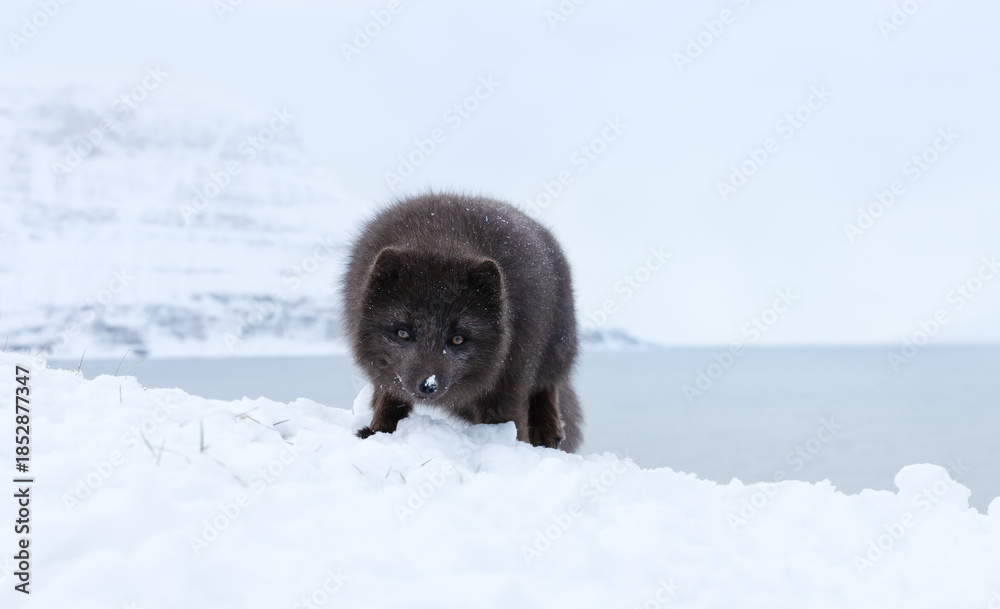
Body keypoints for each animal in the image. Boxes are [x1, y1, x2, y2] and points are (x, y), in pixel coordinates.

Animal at [341, 192, 582, 452]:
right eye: (403, 333)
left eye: (457, 339)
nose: (428, 385)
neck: (438, 237)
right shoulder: (386, 370)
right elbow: (389, 396)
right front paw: (379, 431)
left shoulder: (510, 376)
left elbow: (508, 417)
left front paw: (505, 446)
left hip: (555, 346)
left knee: (547, 386)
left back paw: (548, 432)